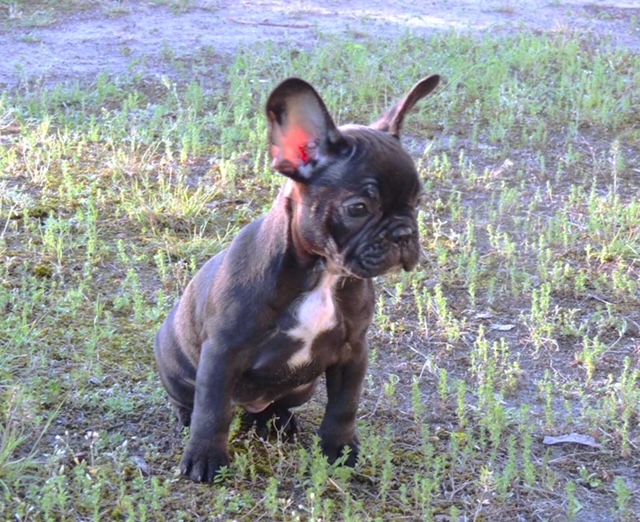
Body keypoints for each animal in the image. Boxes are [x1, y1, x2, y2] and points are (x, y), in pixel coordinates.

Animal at [155, 73, 440, 480]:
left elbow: (344, 405)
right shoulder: (222, 353)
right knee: (193, 401)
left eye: (417, 202)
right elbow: (212, 410)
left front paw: (339, 449)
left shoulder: (352, 352)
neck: (323, 274)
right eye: (358, 208)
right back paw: (188, 417)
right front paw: (206, 457)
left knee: (277, 407)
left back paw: (277, 423)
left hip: (302, 386)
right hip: (176, 364)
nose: (404, 233)